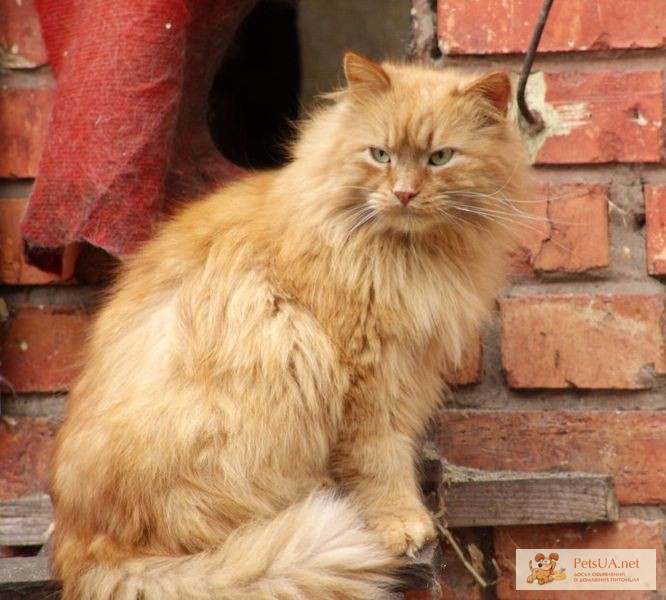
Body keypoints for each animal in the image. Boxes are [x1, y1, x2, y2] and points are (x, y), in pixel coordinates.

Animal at [49, 52, 528, 600]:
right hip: (284, 348)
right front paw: (400, 521)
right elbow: (379, 461)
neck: (407, 256)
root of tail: (80, 552)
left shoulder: (408, 369)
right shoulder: (369, 377)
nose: (404, 194)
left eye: (441, 158)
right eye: (380, 155)